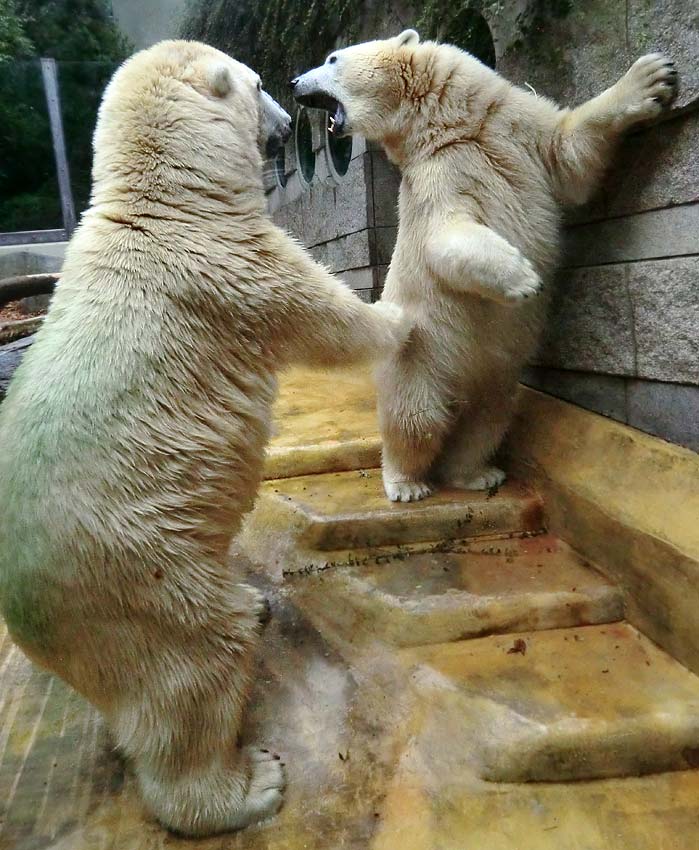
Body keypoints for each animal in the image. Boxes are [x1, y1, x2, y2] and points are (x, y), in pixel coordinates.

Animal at [0, 41, 408, 836]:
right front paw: (407, 310)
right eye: (257, 83)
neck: (162, 203)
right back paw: (245, 783)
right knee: (194, 666)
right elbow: (327, 318)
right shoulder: (227, 265)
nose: (285, 119)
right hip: (135, 573)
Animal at [294, 29, 680, 500]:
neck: (456, 127)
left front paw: (653, 76)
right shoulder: (436, 178)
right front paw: (525, 280)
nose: (293, 83)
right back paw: (407, 483)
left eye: (332, 59)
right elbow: (446, 238)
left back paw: (477, 473)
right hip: (421, 356)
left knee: (485, 422)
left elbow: (569, 152)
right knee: (416, 420)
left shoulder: (513, 129)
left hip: (495, 380)